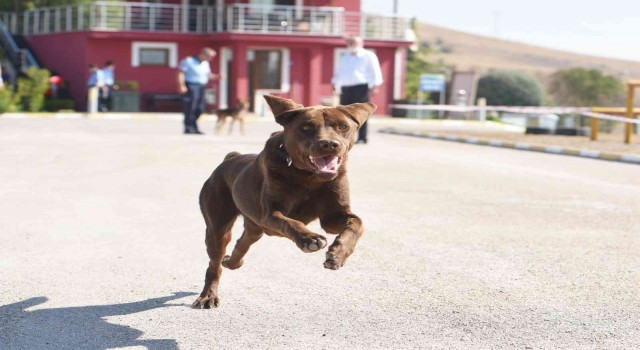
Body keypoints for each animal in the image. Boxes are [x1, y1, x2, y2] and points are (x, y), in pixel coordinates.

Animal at [192, 94, 378, 308]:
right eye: (306, 127)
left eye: (342, 126)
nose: (330, 144)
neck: (309, 177)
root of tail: (230, 158)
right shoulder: (271, 215)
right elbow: (290, 222)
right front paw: (309, 239)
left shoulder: (332, 216)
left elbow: (357, 223)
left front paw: (338, 254)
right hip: (218, 226)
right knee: (214, 263)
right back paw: (208, 295)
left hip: (254, 225)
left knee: (243, 241)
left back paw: (233, 262)